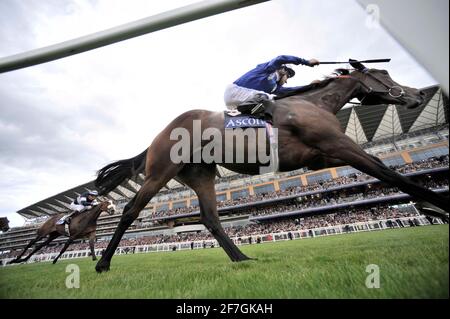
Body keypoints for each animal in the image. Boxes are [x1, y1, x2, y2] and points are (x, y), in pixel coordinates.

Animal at [93, 61, 448, 274]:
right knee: (130, 211)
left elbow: (383, 168)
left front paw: (430, 206)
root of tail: (159, 135)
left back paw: (242, 258)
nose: (417, 95)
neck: (312, 104)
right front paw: (439, 203)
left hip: (201, 174)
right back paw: (103, 263)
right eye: (384, 75)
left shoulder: (324, 156)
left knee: (210, 218)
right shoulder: (338, 146)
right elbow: (386, 171)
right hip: (160, 172)